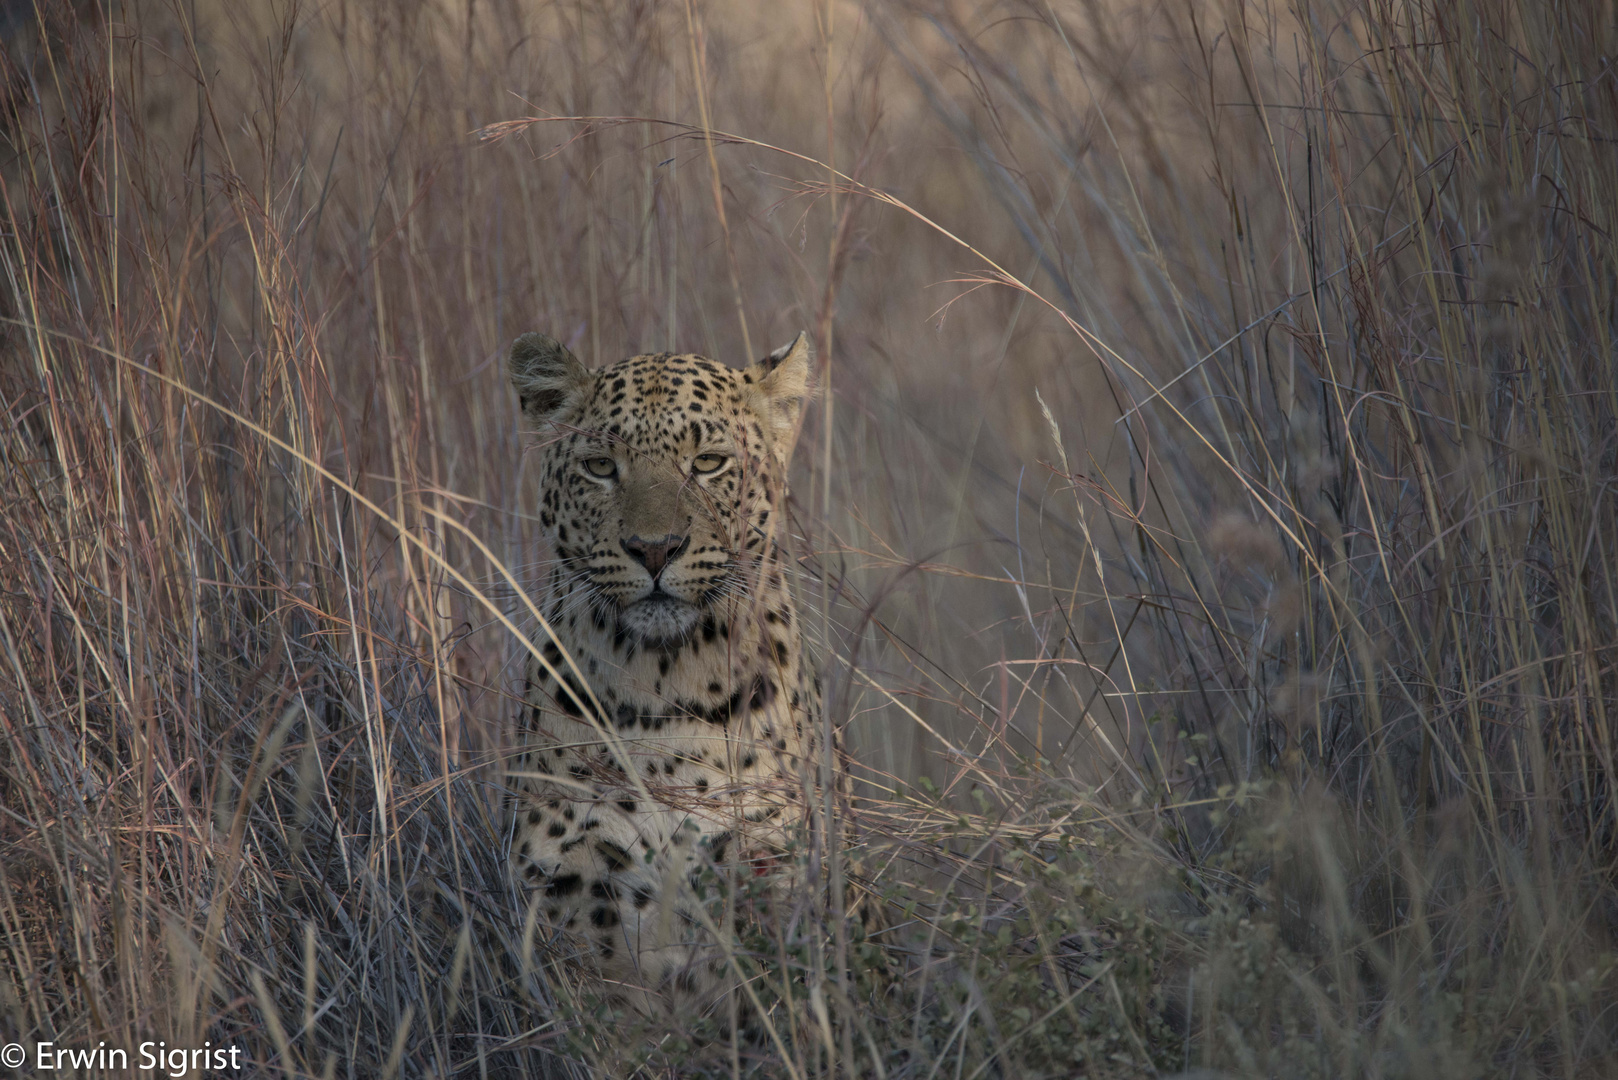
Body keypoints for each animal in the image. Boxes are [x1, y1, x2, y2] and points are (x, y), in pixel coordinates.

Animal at [504, 330, 828, 1023]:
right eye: (601, 467)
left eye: (707, 463)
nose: (654, 548)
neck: (665, 686)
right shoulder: (570, 878)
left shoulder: (767, 862)